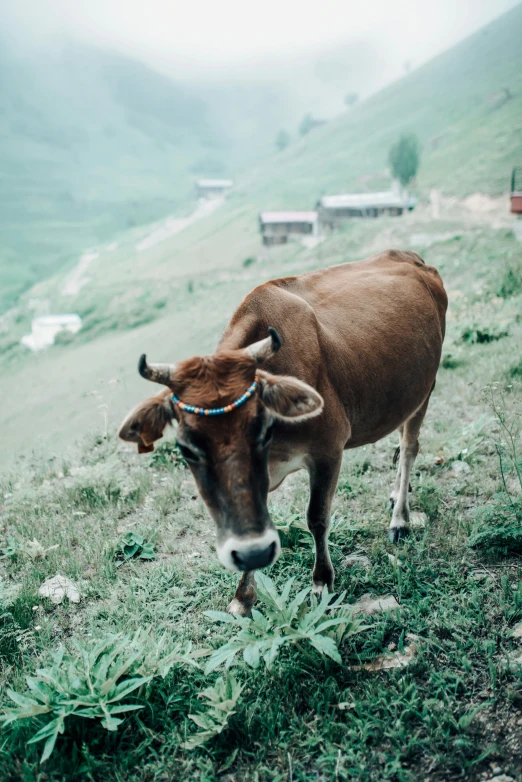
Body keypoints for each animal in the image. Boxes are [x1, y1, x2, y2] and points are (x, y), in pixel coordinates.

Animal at [120, 251, 444, 620]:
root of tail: (408, 257)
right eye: (186, 449)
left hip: (425, 387)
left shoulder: (328, 450)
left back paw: (400, 519)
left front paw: (321, 582)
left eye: (263, 431)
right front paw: (243, 596)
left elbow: (317, 517)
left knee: (409, 447)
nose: (252, 554)